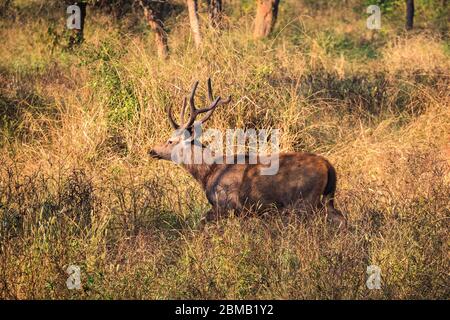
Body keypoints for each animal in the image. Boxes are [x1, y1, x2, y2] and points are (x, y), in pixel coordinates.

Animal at [149, 79, 346, 226]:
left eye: (170, 141)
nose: (152, 150)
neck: (208, 174)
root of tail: (328, 166)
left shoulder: (226, 205)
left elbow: (202, 222)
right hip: (327, 198)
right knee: (341, 217)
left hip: (304, 201)